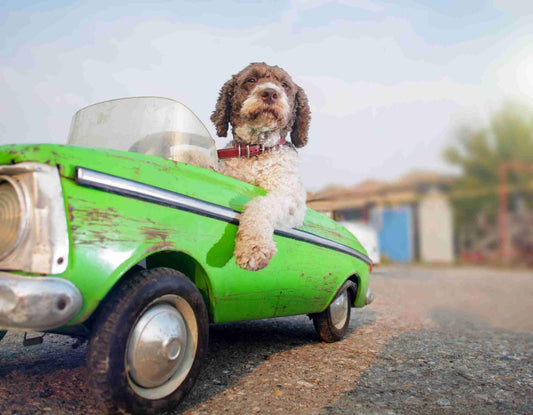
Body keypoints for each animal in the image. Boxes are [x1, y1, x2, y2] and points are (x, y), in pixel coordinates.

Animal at [211, 61, 312, 270]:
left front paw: (253, 248)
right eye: (251, 80)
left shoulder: (291, 199)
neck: (256, 151)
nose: (270, 93)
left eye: (284, 84)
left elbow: (260, 204)